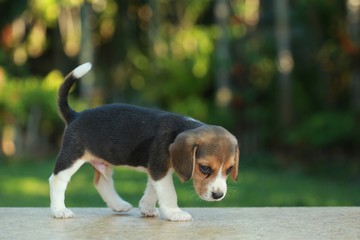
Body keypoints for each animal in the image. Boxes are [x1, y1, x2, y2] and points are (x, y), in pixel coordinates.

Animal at [47, 62, 239, 222]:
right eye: (204, 168)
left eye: (230, 169)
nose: (218, 195)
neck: (180, 130)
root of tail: (75, 116)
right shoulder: (159, 168)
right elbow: (168, 192)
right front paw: (174, 213)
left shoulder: (156, 170)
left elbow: (153, 189)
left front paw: (146, 207)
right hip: (72, 156)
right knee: (57, 180)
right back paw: (59, 210)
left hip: (103, 161)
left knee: (101, 182)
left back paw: (119, 205)